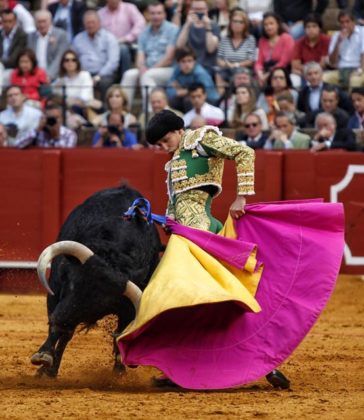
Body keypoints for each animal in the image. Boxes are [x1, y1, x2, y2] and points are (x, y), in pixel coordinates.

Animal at [30, 185, 161, 378]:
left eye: (98, 304)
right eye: (71, 285)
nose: (60, 318)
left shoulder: (128, 307)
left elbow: (120, 333)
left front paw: (119, 369)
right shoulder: (55, 292)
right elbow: (58, 330)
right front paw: (44, 356)